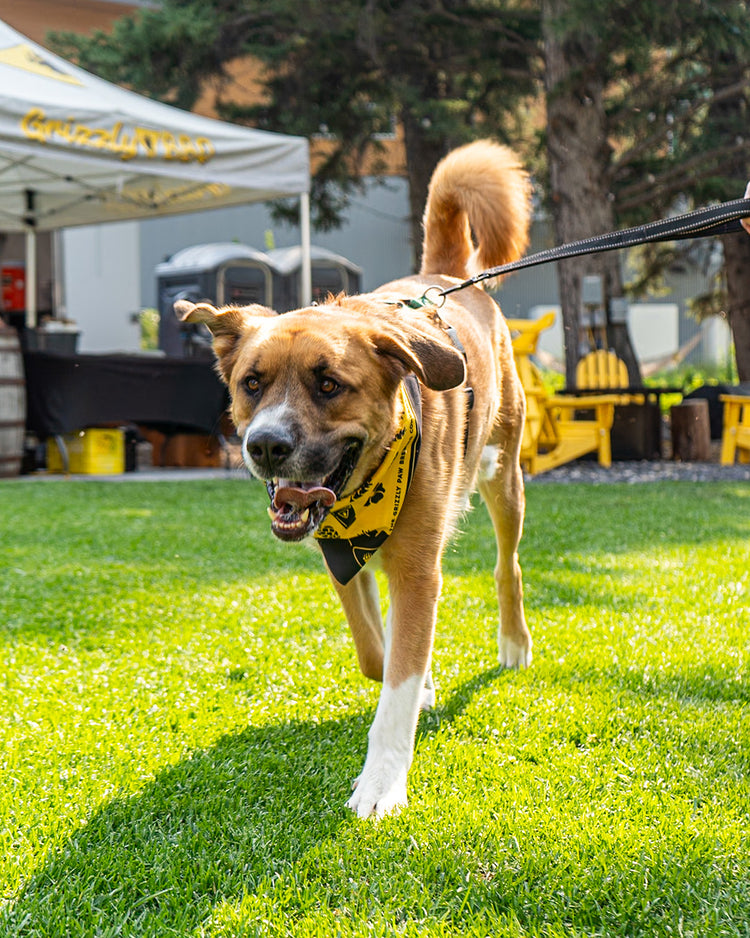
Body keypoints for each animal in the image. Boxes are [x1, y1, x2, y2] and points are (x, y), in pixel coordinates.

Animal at [178, 137, 536, 812]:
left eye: (328, 385)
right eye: (252, 383)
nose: (266, 445)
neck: (365, 490)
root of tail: (444, 279)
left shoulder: (418, 569)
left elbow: (396, 685)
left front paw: (381, 781)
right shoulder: (341, 553)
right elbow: (379, 656)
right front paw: (419, 682)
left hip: (503, 476)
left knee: (509, 566)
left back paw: (514, 642)